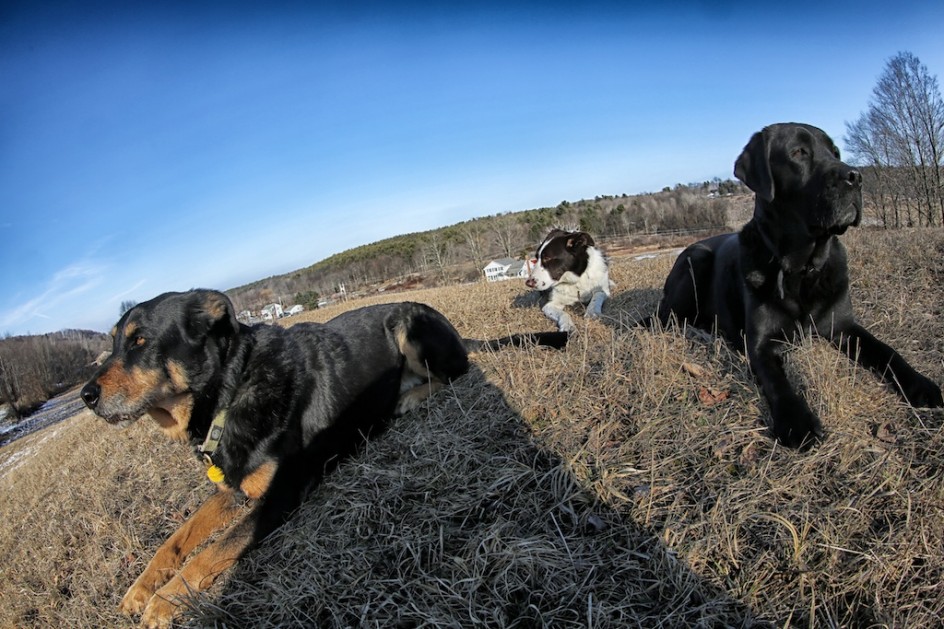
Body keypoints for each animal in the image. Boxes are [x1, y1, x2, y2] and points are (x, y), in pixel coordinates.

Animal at [81, 290, 564, 628]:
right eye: (113, 346)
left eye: (141, 341)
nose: (86, 395)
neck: (231, 390)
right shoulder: (234, 487)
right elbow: (177, 539)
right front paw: (140, 590)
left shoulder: (280, 495)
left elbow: (213, 549)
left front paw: (164, 601)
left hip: (409, 326)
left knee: (455, 373)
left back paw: (408, 399)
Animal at [656, 121, 944, 446]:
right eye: (799, 152)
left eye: (835, 152)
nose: (855, 177)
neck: (802, 269)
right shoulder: (760, 344)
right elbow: (778, 381)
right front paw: (797, 423)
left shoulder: (844, 326)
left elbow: (887, 351)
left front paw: (921, 384)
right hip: (696, 258)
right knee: (666, 318)